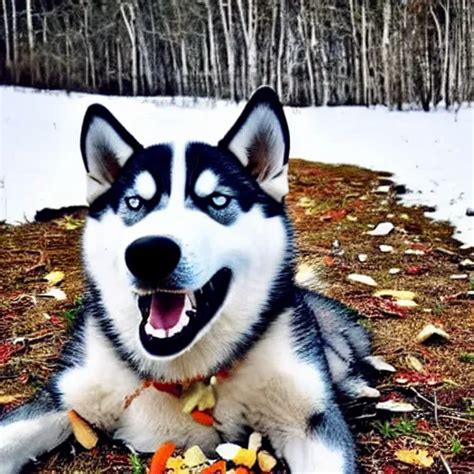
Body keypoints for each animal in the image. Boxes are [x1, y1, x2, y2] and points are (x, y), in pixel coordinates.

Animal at [0, 88, 380, 474]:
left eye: (217, 200)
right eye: (134, 203)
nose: (149, 254)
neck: (190, 373)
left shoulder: (308, 420)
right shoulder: (62, 399)